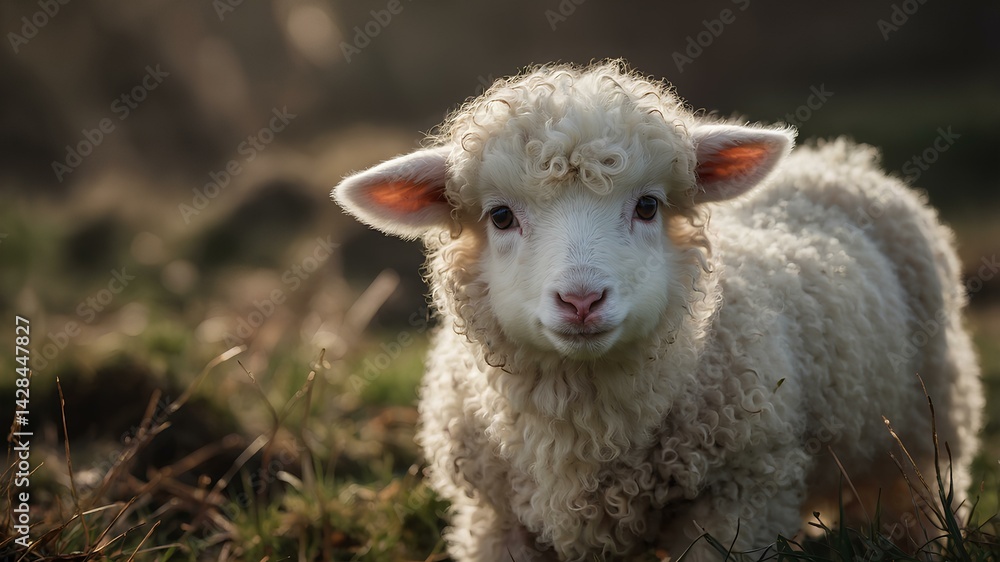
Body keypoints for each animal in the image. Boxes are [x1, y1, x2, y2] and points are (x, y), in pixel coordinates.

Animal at [331, 61, 982, 561]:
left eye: (647, 206)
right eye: (500, 216)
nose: (582, 300)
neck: (587, 425)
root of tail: (841, 158)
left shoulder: (738, 495)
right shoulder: (495, 519)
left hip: (926, 428)